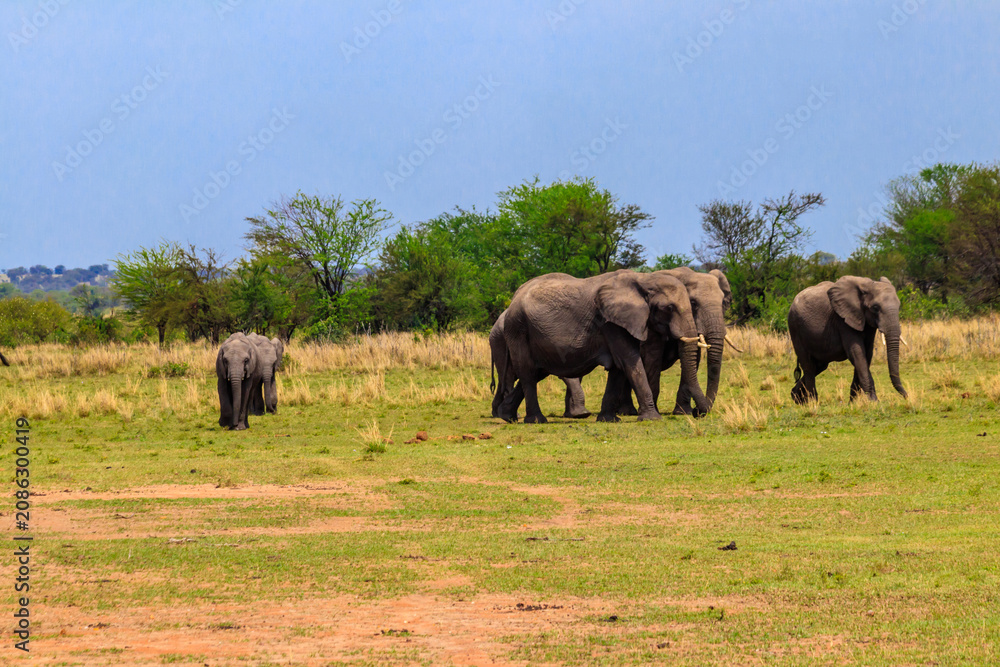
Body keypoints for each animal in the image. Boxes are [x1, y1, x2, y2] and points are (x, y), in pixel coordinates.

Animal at [492, 268, 733, 419]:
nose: (700, 413)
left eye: (724, 302)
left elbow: (622, 365)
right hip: (517, 329)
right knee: (527, 371)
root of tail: (512, 300)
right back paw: (535, 419)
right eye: (670, 308)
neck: (644, 280)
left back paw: (507, 416)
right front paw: (652, 415)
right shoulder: (614, 322)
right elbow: (635, 360)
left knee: (535, 372)